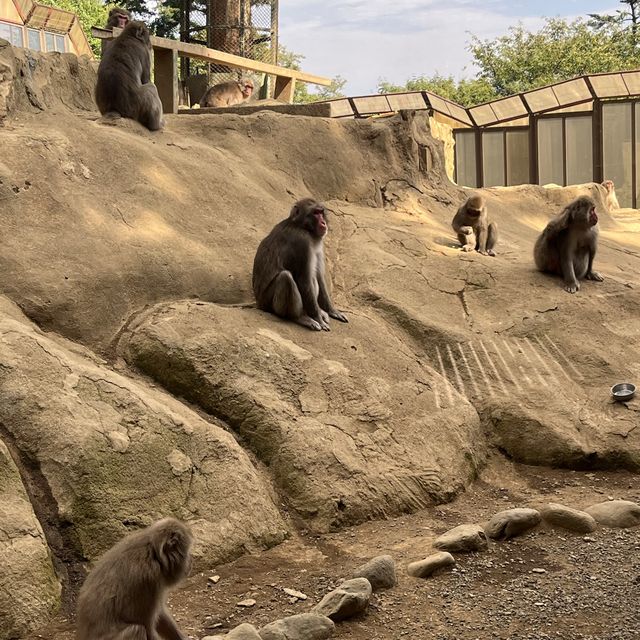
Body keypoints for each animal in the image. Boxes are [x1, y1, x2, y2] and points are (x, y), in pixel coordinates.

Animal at [251, 199, 350, 330]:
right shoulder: (302, 242)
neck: (301, 226)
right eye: (315, 213)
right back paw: (299, 317)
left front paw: (331, 311)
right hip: (268, 303)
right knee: (286, 277)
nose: (323, 223)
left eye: (321, 212)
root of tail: (259, 304)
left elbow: (319, 276)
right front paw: (318, 318)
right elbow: (304, 280)